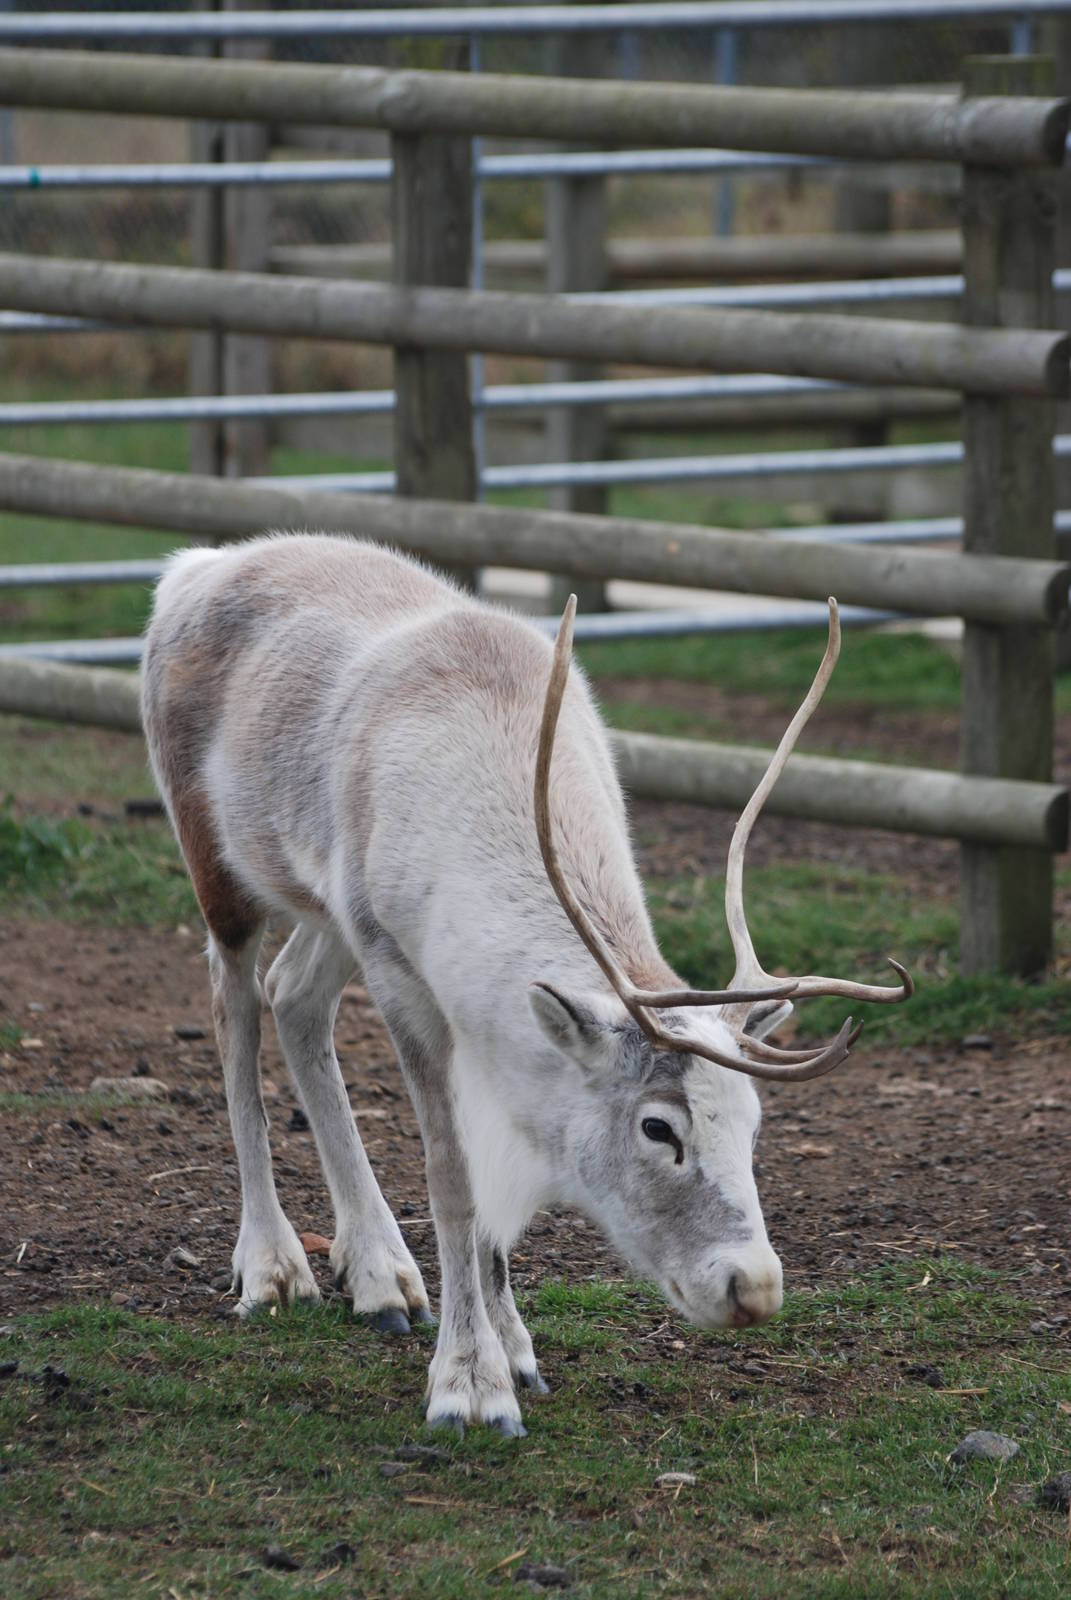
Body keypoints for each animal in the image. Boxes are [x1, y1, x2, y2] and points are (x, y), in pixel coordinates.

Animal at [141, 533, 910, 1436]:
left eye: (755, 1125)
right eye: (658, 1128)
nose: (751, 1288)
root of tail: (194, 567)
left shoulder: (455, 996)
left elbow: (490, 1195)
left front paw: (513, 1351)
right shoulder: (401, 974)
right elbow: (454, 1181)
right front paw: (468, 1387)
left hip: (326, 910)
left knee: (293, 994)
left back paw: (382, 1280)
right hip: (218, 865)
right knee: (233, 1003)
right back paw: (271, 1267)